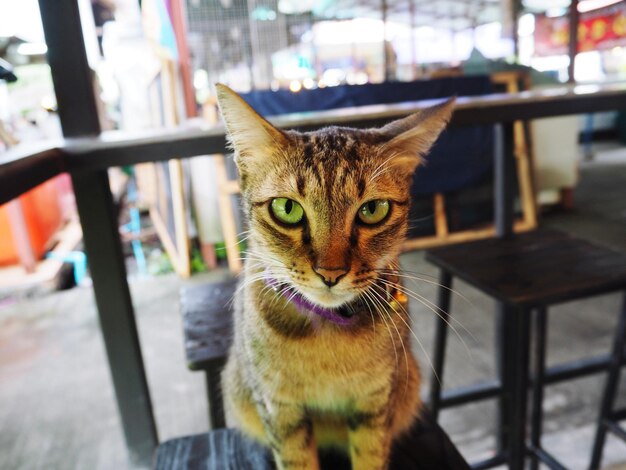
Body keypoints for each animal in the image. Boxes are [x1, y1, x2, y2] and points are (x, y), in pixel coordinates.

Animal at [216, 84, 454, 470]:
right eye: (287, 209)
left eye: (373, 210)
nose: (331, 273)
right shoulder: (277, 407)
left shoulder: (376, 403)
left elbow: (370, 457)